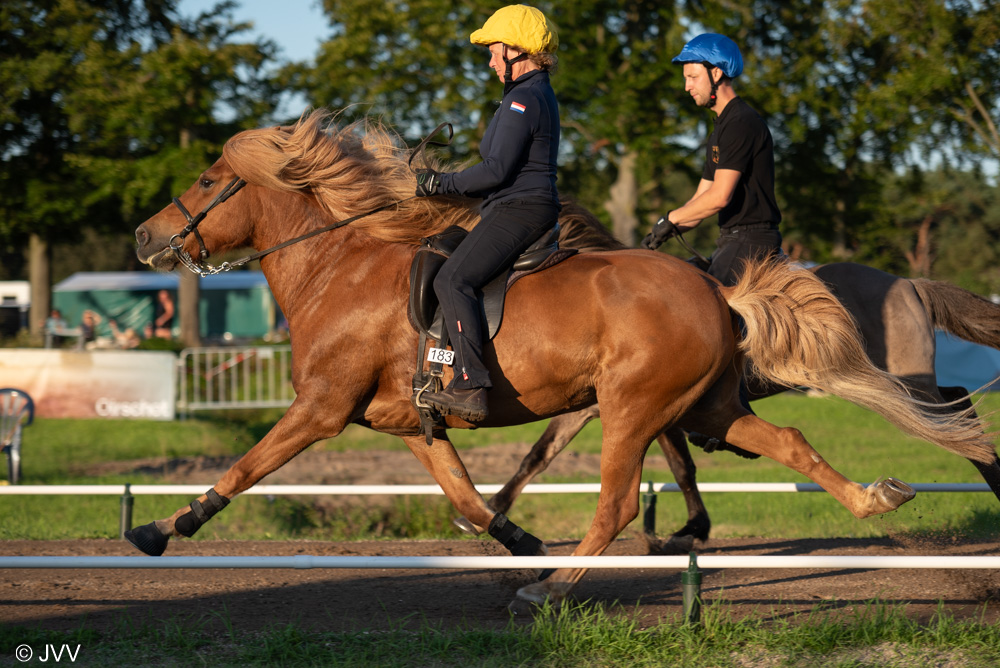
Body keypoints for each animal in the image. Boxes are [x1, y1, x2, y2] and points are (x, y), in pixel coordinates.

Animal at [460, 215, 1000, 552]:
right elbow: (539, 455)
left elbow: (681, 467)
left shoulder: (645, 406)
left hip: (902, 380)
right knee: (955, 406)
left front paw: (690, 530)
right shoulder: (595, 406)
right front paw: (486, 513)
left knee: (953, 413)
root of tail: (909, 283)